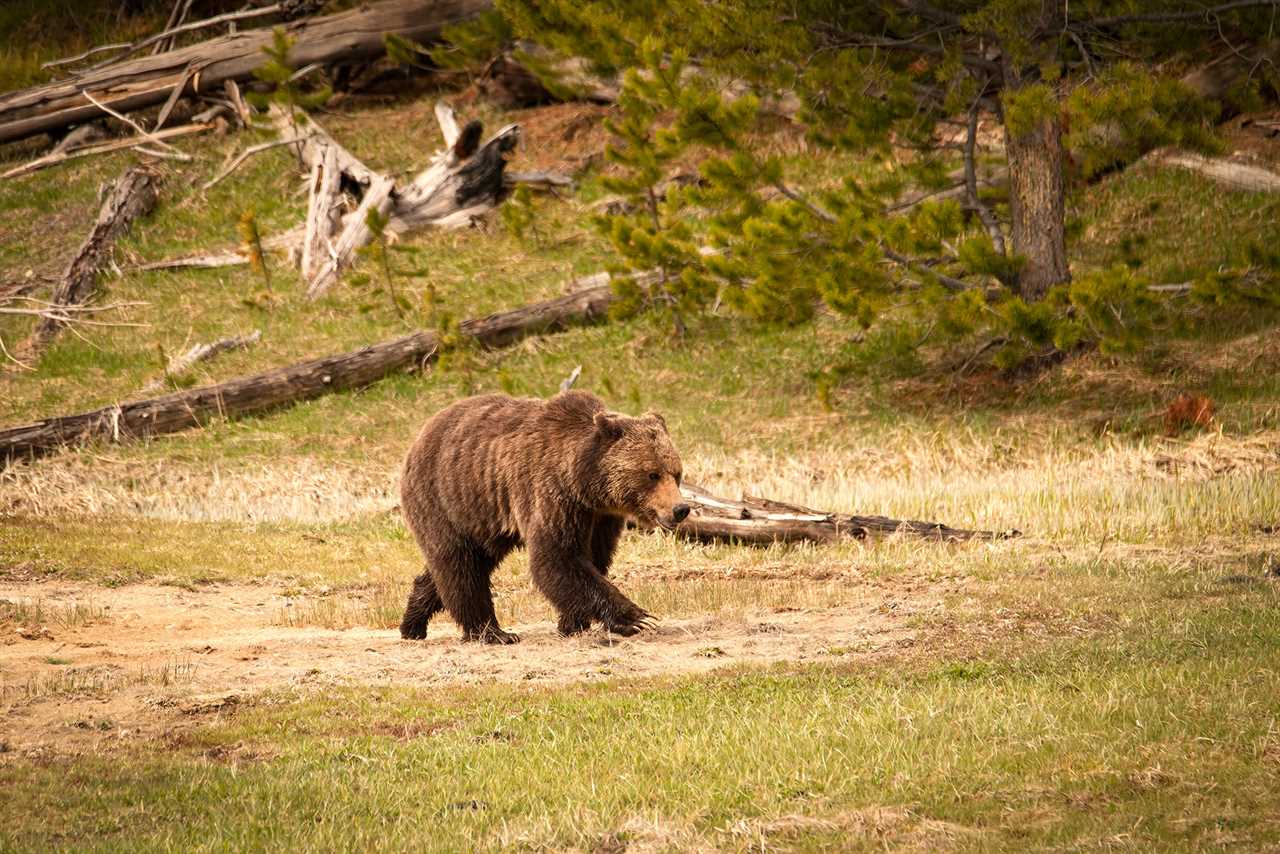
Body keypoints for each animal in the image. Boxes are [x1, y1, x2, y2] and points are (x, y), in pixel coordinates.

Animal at [399, 386, 691, 640]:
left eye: (676, 473)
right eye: (652, 474)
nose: (680, 509)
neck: (584, 481)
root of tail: (419, 437)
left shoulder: (600, 517)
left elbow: (594, 557)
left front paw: (572, 623)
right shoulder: (552, 494)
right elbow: (557, 557)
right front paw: (636, 618)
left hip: (483, 519)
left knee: (462, 563)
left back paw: (412, 623)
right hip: (446, 499)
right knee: (460, 564)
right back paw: (492, 632)